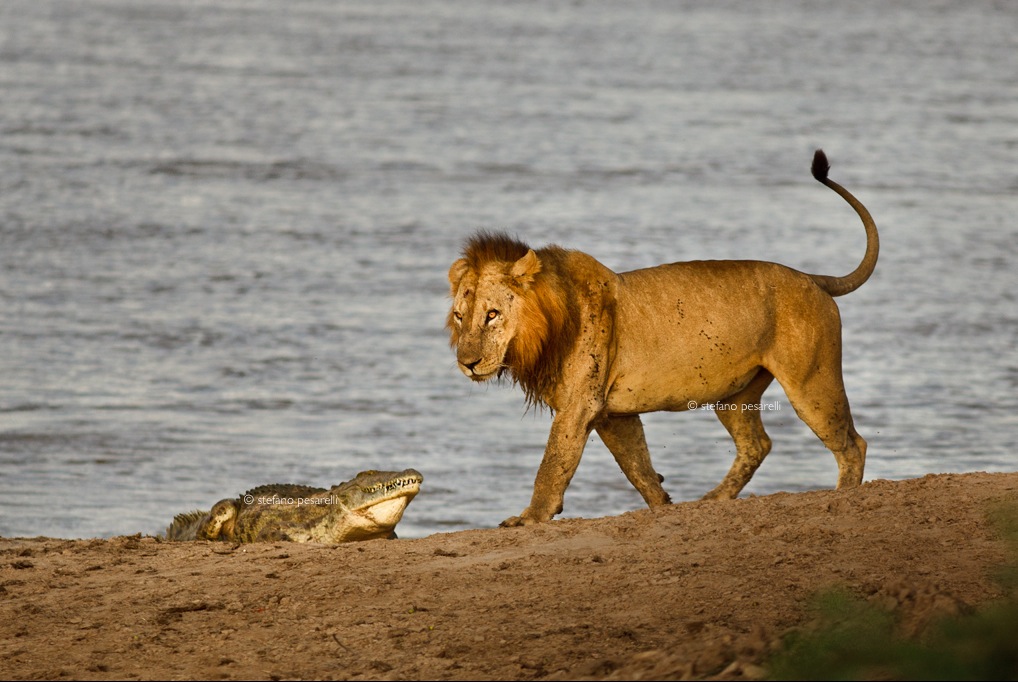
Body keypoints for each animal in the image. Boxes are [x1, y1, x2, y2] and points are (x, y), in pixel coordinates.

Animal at [447, 150, 878, 527]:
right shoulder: (612, 412)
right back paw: (712, 500)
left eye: (492, 314)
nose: (467, 364)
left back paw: (843, 497)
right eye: (459, 316)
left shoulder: (579, 405)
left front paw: (529, 518)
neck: (547, 325)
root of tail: (812, 278)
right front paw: (664, 506)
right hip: (735, 395)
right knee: (757, 444)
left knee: (851, 444)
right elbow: (638, 465)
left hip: (811, 382)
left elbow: (553, 465)